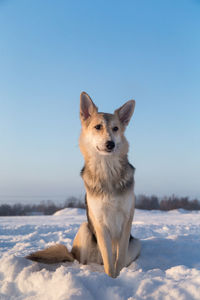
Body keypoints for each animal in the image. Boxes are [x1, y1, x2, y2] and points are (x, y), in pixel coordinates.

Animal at [26, 92, 141, 278]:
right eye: (98, 127)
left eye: (115, 128)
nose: (110, 144)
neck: (107, 169)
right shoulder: (100, 222)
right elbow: (110, 263)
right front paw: (111, 279)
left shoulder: (126, 219)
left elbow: (119, 260)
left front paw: (118, 277)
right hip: (85, 229)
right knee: (83, 260)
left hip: (136, 243)